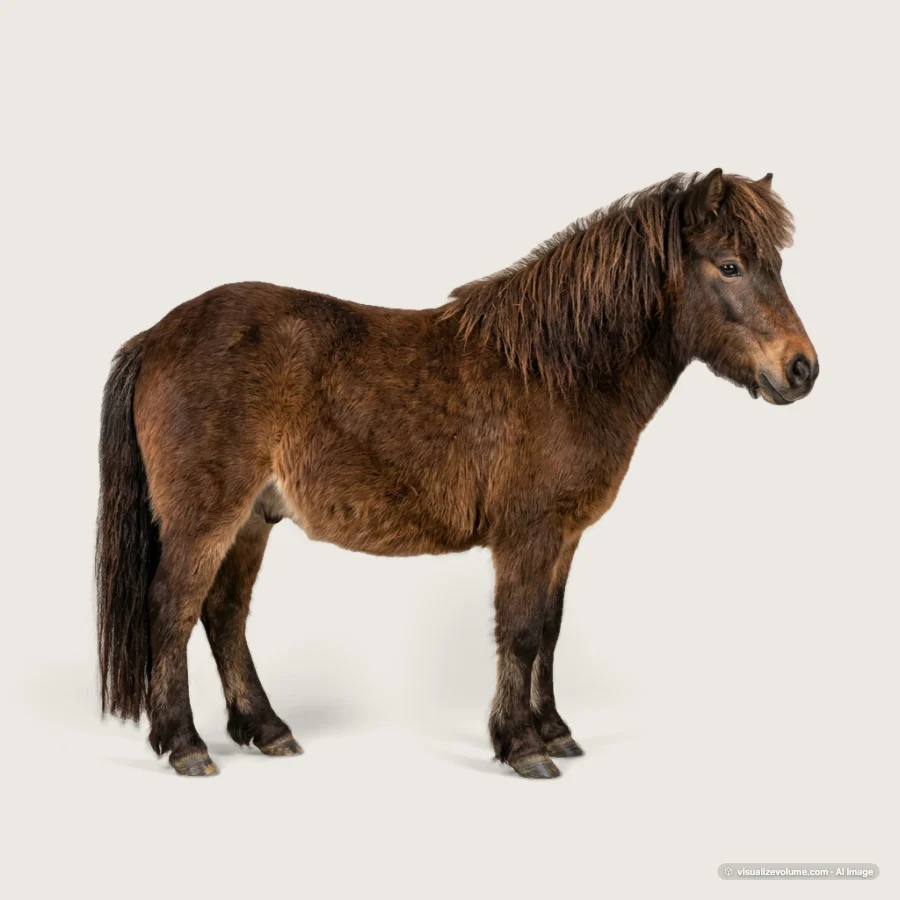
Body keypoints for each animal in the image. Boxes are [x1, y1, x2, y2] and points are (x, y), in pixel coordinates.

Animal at [96, 169, 818, 778]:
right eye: (730, 266)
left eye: (777, 266)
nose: (802, 368)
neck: (558, 368)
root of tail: (155, 336)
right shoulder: (527, 535)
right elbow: (520, 632)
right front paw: (523, 747)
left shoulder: (564, 537)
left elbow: (549, 630)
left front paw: (554, 730)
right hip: (207, 518)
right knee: (172, 609)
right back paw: (185, 745)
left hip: (252, 519)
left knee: (224, 614)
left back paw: (267, 729)